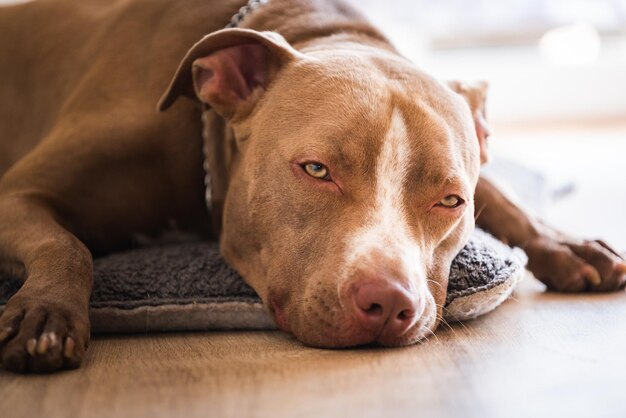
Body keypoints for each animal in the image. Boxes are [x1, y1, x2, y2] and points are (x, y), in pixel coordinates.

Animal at [1, 0, 624, 372]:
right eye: (316, 170)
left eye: (452, 201)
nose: (388, 301)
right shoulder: (16, 195)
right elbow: (67, 245)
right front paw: (47, 313)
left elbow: (505, 195)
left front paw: (567, 245)